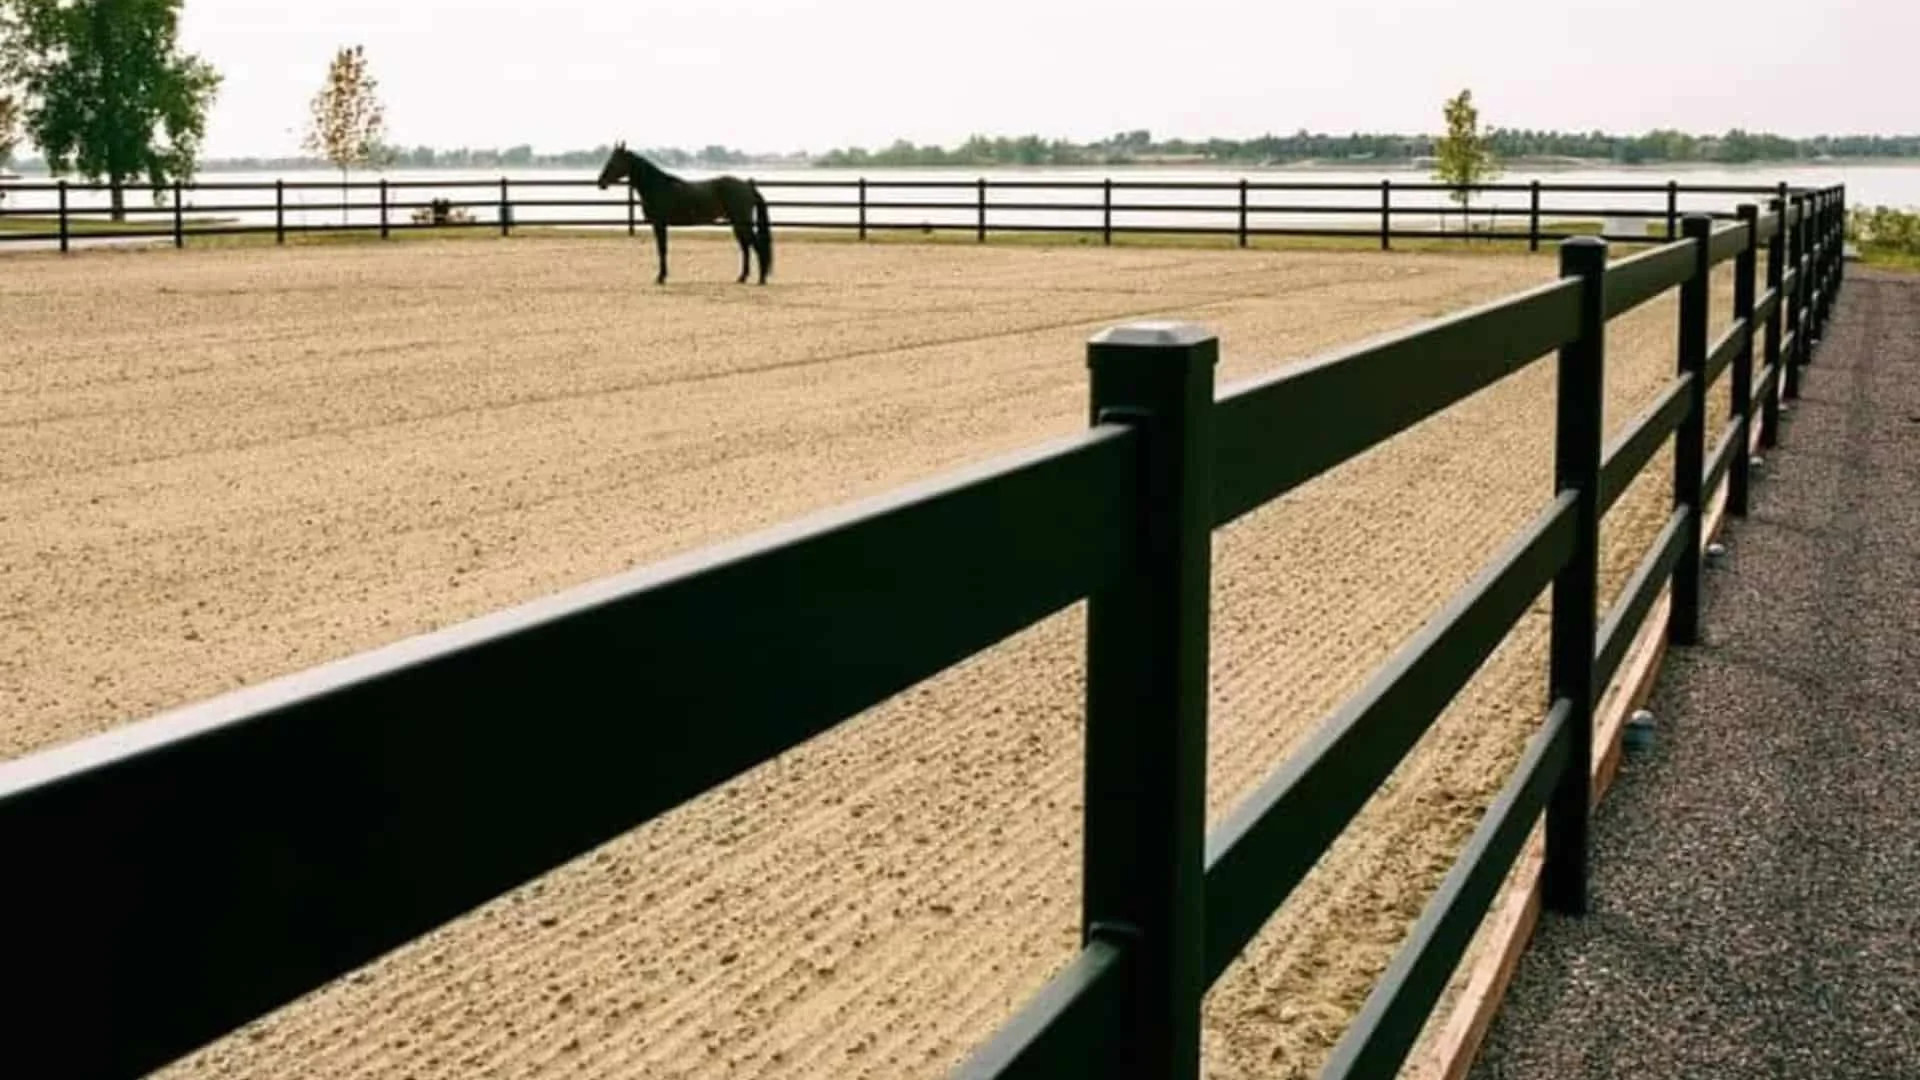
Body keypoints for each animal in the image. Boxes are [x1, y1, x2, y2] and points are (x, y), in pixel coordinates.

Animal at [596, 142, 773, 286]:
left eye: (614, 161)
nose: (600, 182)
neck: (657, 186)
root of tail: (747, 185)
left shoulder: (659, 224)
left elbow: (662, 249)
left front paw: (660, 278)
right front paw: (662, 276)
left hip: (742, 223)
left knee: (755, 246)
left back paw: (761, 279)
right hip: (738, 224)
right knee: (746, 248)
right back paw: (742, 278)